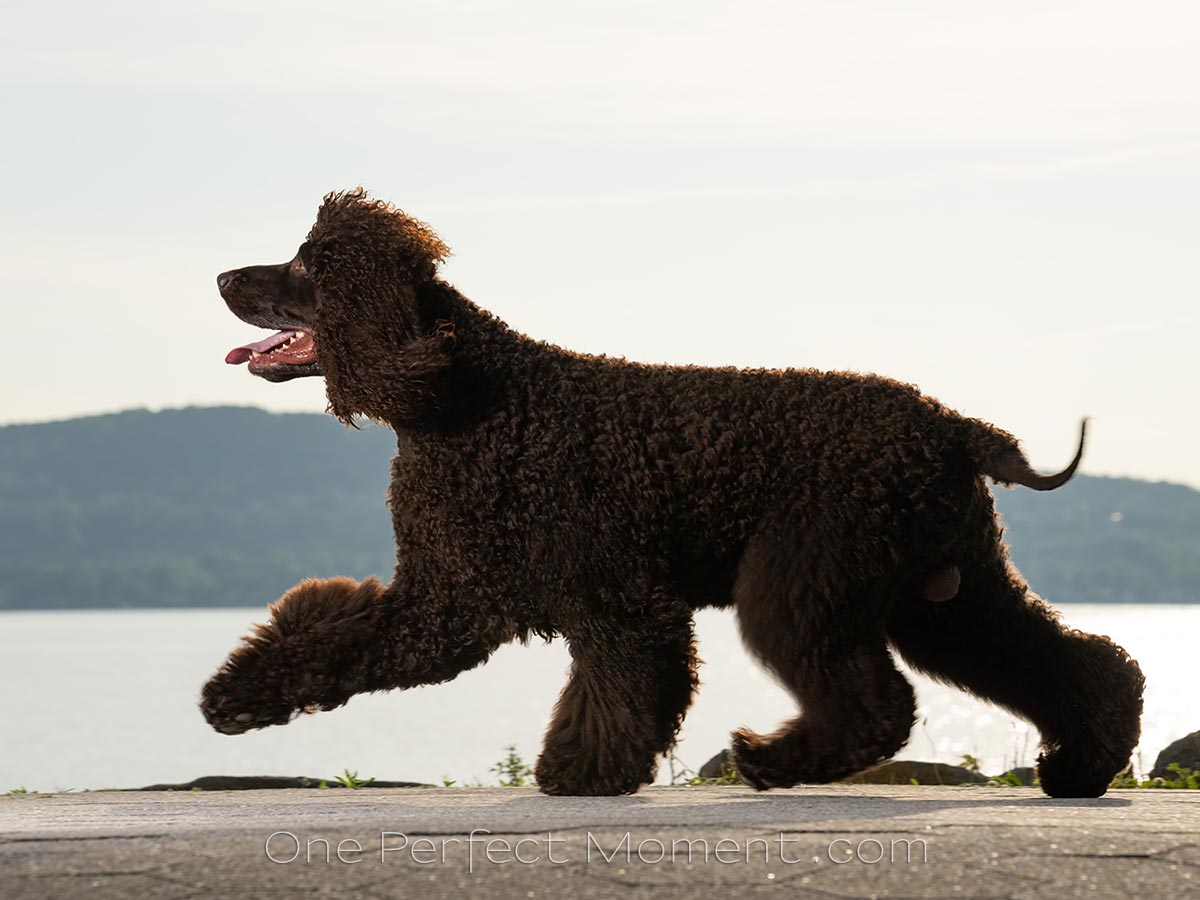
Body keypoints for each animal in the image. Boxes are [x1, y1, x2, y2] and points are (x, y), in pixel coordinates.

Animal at [204, 188, 1142, 796]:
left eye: (305, 264)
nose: (221, 278)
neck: (460, 398)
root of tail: (952, 423)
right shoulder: (445, 601)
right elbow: (337, 640)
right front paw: (234, 696)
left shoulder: (617, 600)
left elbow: (619, 691)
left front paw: (581, 775)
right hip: (948, 593)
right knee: (1080, 661)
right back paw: (1080, 768)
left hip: (805, 579)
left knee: (877, 704)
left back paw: (769, 761)